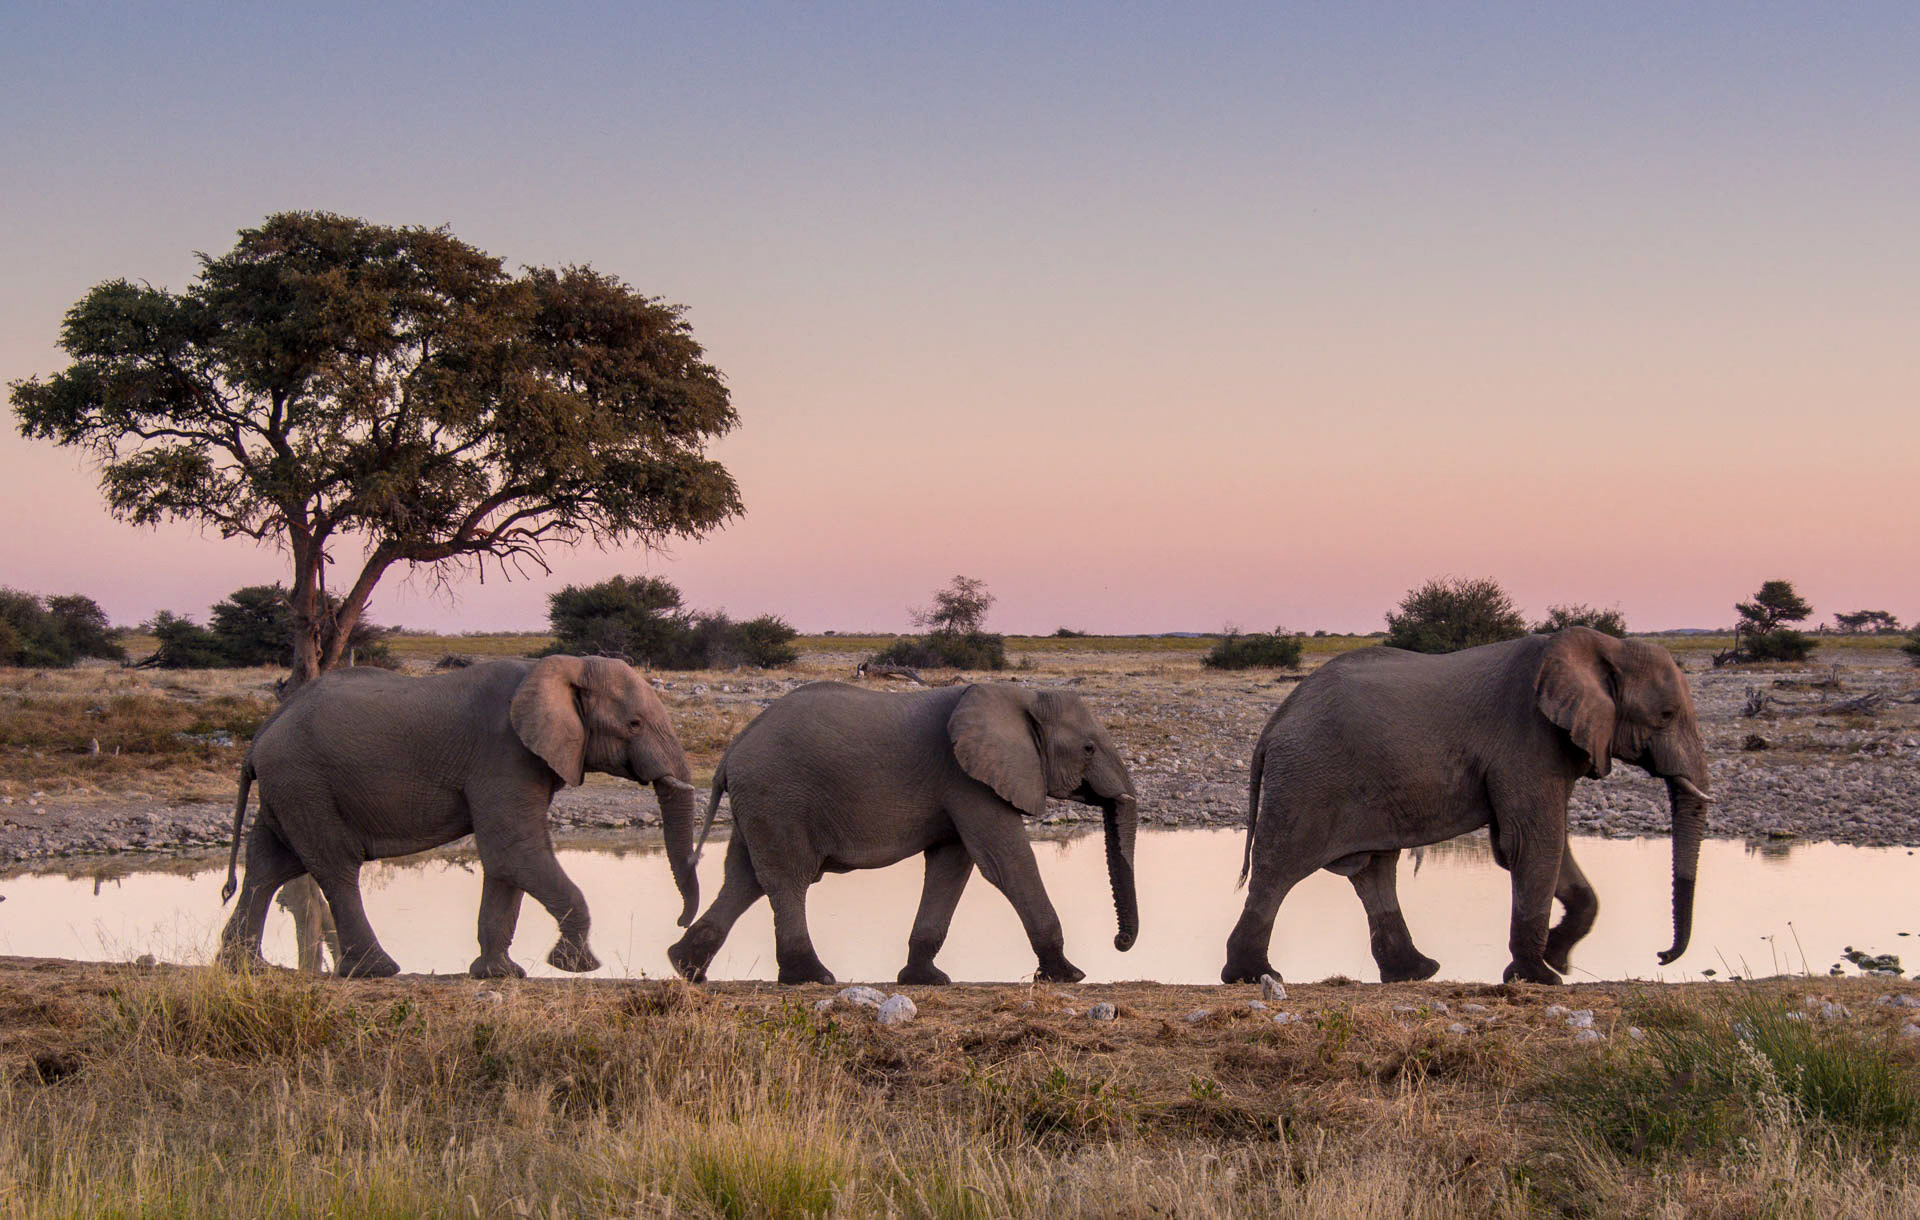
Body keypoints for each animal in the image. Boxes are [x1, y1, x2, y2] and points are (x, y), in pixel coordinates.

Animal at [217, 655, 701, 979]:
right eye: (634, 724)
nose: (680, 924)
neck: (563, 667)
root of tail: (262, 731)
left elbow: (508, 862)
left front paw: (499, 974)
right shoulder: (504, 753)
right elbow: (513, 850)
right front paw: (576, 965)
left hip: (289, 788)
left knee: (269, 865)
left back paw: (243, 966)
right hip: (305, 781)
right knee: (335, 867)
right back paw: (376, 969)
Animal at [667, 681, 1140, 985]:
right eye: (1089, 748)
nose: (1120, 942)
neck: (1021, 695)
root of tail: (731, 751)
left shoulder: (962, 783)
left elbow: (952, 866)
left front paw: (925, 979)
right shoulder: (968, 779)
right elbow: (1005, 861)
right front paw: (1068, 975)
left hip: (760, 803)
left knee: (744, 878)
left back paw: (685, 968)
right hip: (777, 797)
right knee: (788, 877)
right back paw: (812, 978)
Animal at [1222, 627, 1712, 986]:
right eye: (1666, 715)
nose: (1662, 955)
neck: (1604, 647)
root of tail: (1275, 722)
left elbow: (1542, 844)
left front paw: (1556, 959)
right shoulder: (1527, 741)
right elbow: (1533, 842)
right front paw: (1540, 978)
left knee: (1374, 870)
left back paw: (1414, 973)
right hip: (1307, 779)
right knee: (1280, 867)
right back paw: (1253, 976)